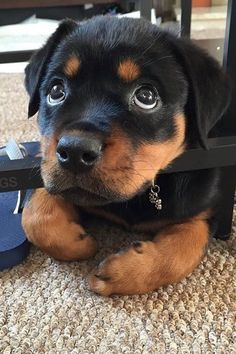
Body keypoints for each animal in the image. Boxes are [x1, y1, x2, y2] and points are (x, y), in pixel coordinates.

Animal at [22, 15, 230, 296]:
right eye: (56, 91)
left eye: (146, 96)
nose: (74, 151)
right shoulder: (45, 165)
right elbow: (35, 215)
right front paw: (79, 243)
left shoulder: (205, 210)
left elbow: (184, 249)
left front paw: (121, 272)